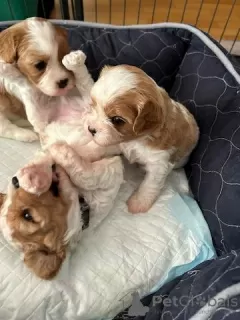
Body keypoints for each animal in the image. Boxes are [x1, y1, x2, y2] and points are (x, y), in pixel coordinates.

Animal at [86, 64, 199, 214]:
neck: (136, 140)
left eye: (117, 120)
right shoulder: (117, 140)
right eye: (93, 104)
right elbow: (100, 146)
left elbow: (149, 185)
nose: (91, 129)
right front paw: (83, 151)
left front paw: (139, 202)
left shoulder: (159, 164)